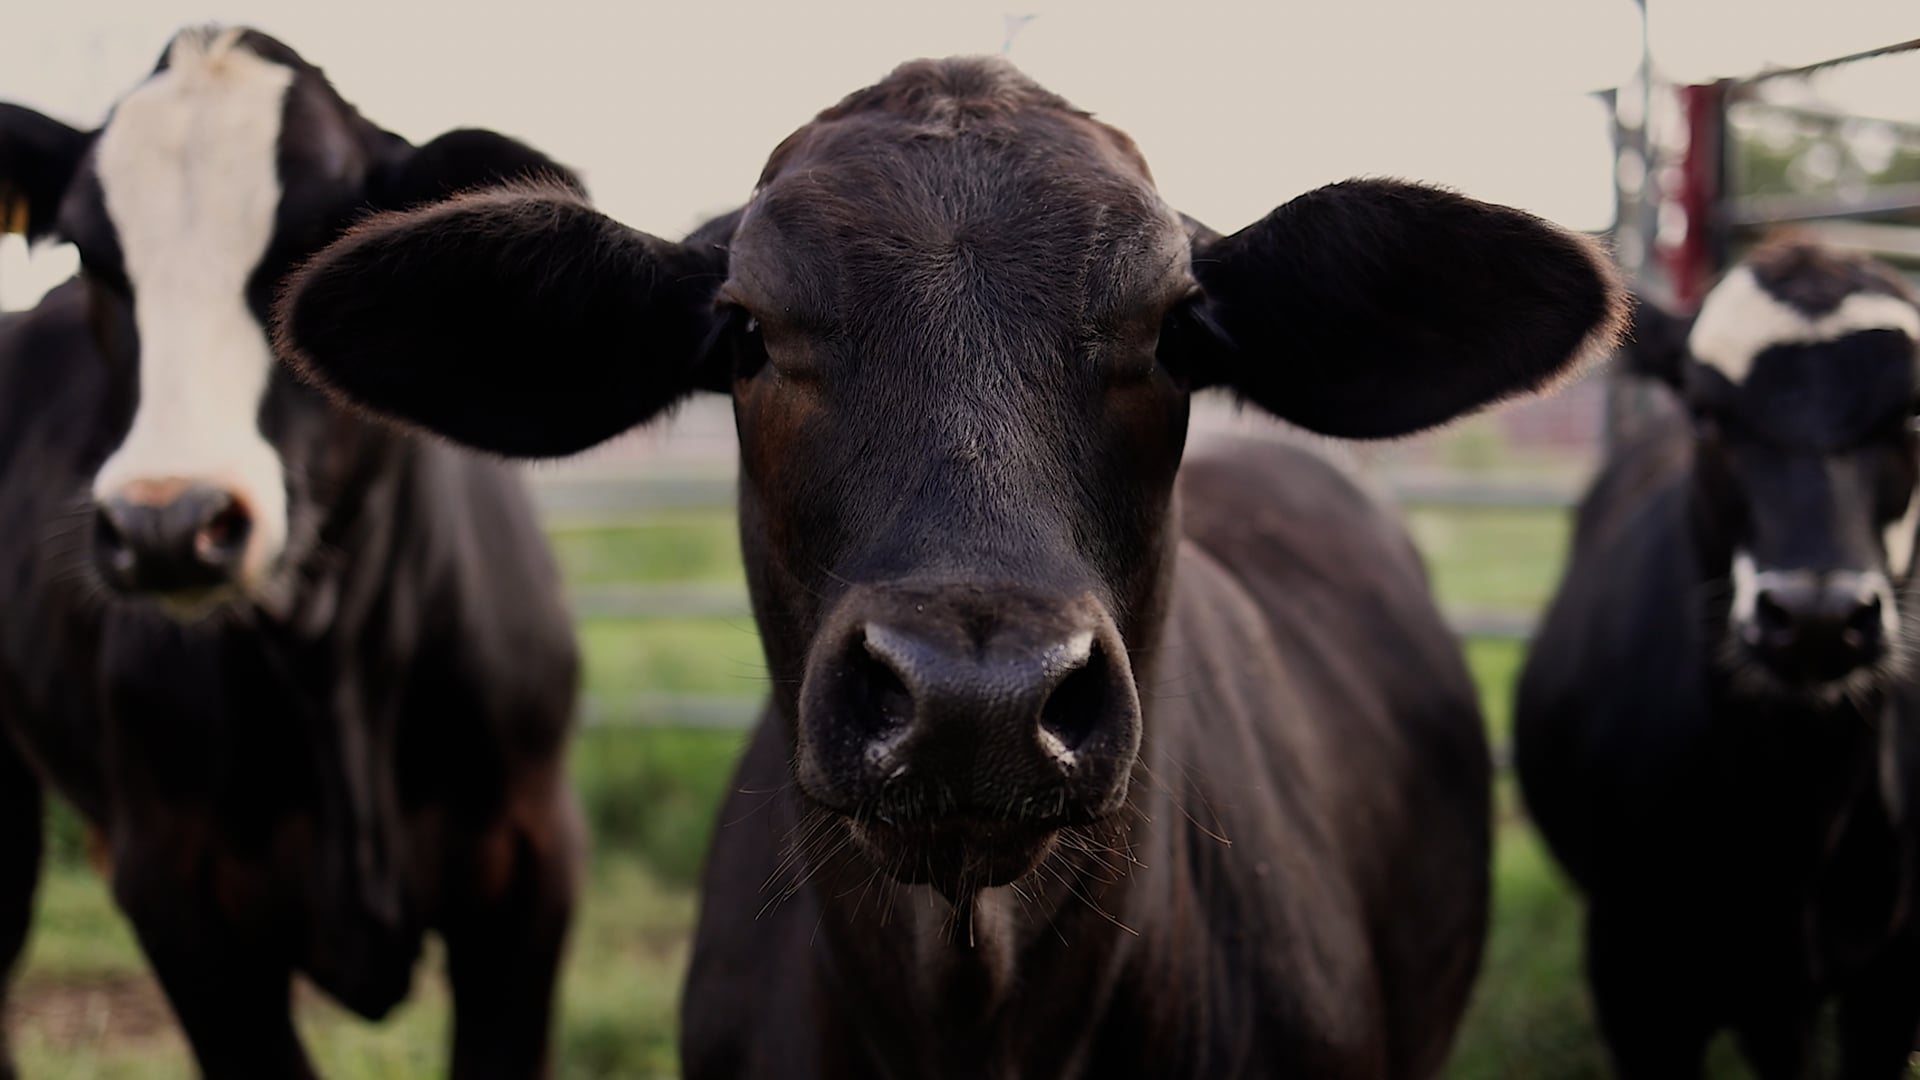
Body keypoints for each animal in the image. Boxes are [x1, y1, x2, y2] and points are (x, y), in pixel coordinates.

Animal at [0, 27, 582, 1079]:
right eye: (90, 253)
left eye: (318, 239)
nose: (166, 524)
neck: (333, 661)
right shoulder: (178, 894)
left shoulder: (530, 864)